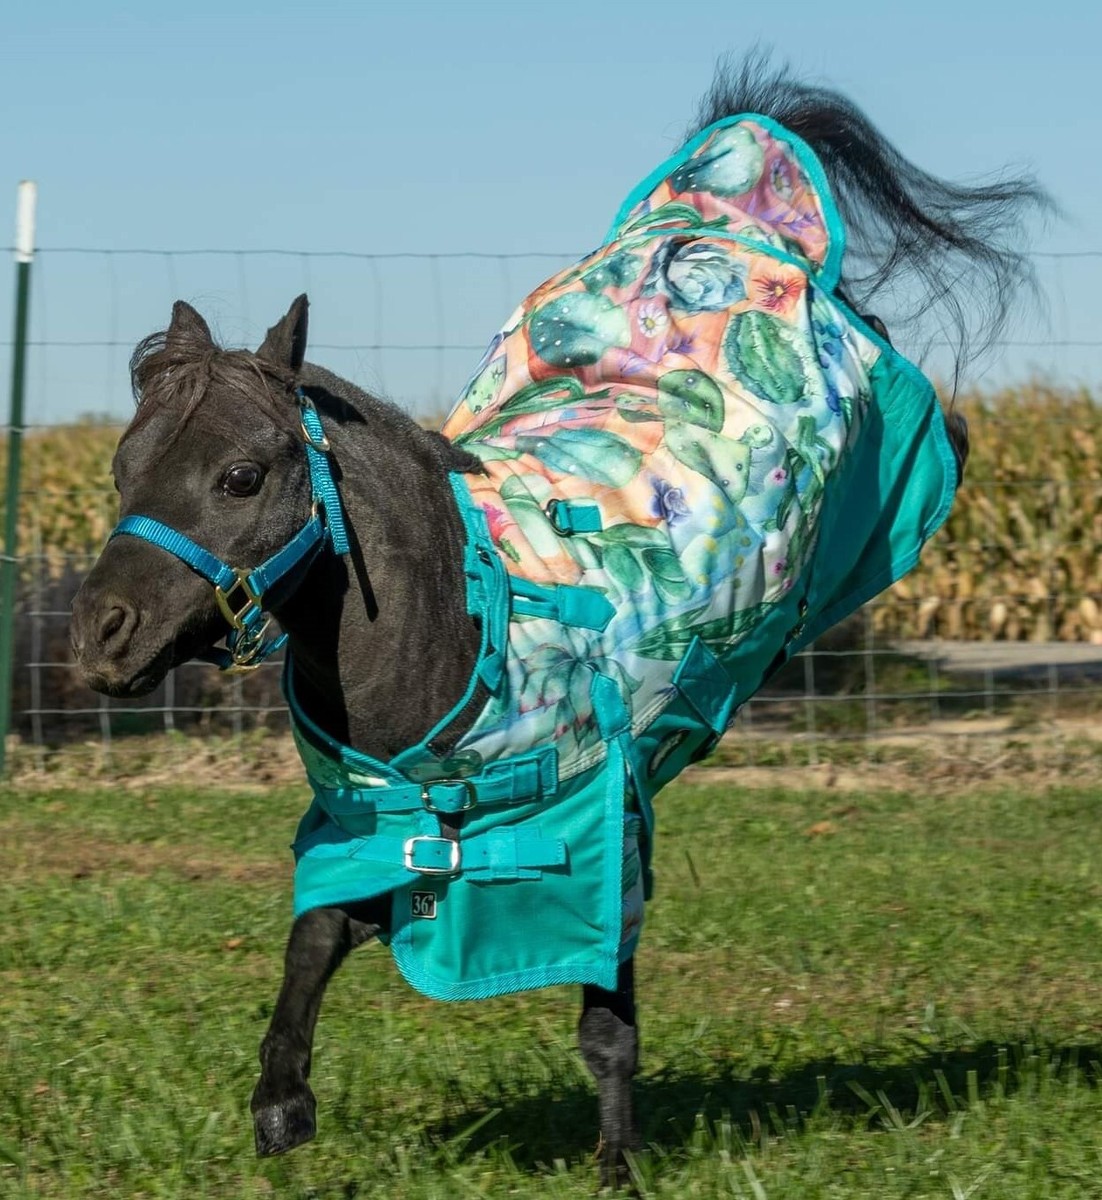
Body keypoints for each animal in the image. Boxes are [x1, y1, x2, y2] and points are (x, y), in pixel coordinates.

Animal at [70, 59, 1044, 1187]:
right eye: (122, 466)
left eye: (238, 475)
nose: (97, 634)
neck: (459, 627)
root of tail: (712, 207)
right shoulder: (379, 832)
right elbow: (315, 934)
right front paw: (281, 1108)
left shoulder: (602, 828)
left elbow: (605, 1024)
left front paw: (616, 1163)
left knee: (939, 412)